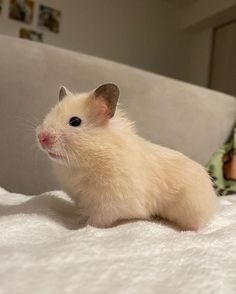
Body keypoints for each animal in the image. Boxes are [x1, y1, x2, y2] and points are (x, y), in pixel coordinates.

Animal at [36, 82, 218, 230]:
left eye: (75, 121)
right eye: (49, 114)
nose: (41, 137)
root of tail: (213, 198)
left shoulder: (112, 201)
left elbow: (98, 219)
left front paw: (85, 228)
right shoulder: (83, 199)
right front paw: (78, 221)